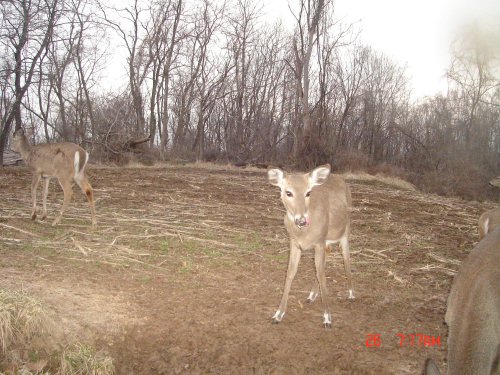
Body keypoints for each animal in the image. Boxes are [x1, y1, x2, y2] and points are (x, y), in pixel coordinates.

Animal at [268, 163, 354, 328]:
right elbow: (290, 273)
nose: (301, 220)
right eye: (288, 192)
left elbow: (321, 274)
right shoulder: (294, 243)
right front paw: (278, 314)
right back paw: (312, 295)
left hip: (345, 229)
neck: (304, 233)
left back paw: (352, 293)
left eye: (308, 192)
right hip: (327, 240)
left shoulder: (319, 241)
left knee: (346, 258)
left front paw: (327, 317)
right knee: (327, 258)